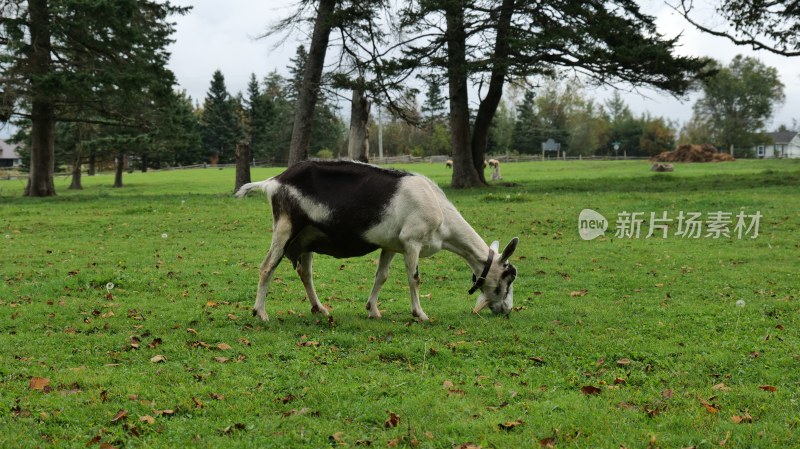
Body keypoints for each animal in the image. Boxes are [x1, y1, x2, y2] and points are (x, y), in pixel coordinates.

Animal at [233, 159, 520, 320]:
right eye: (507, 278)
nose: (506, 310)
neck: (440, 211)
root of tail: (273, 181)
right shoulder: (412, 241)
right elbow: (414, 279)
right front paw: (420, 314)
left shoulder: (391, 245)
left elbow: (381, 276)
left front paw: (373, 310)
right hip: (286, 227)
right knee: (267, 267)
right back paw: (261, 313)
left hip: (306, 239)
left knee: (306, 273)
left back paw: (320, 309)